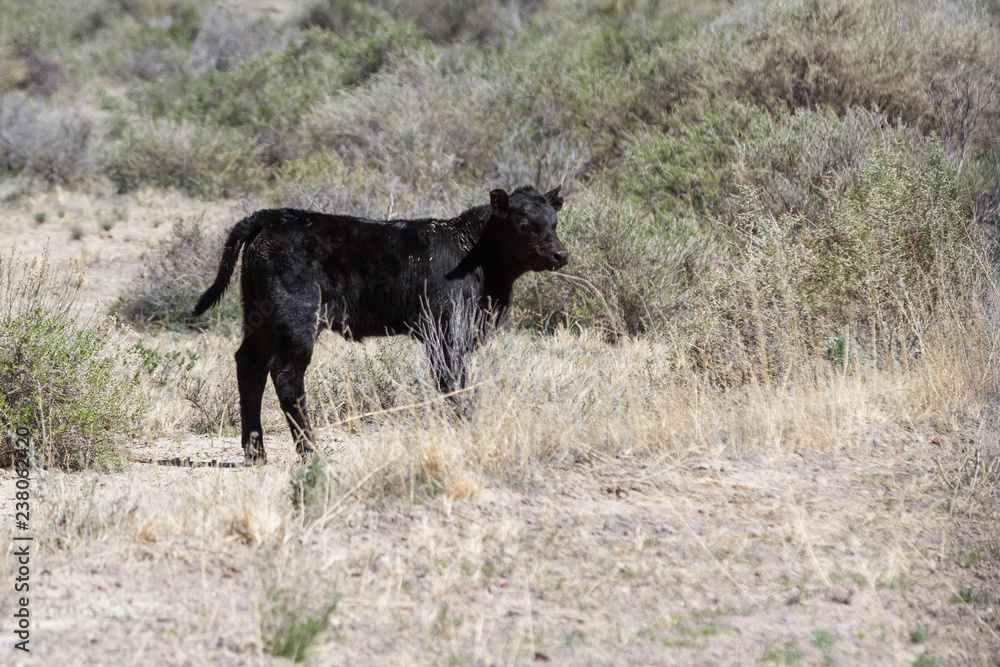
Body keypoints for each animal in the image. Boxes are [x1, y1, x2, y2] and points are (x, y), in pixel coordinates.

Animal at [192, 186, 568, 464]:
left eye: (554, 221)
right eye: (524, 223)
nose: (560, 254)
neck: (475, 256)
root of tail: (272, 216)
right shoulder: (445, 332)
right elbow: (453, 384)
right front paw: (465, 431)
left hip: (259, 318)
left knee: (249, 365)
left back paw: (256, 453)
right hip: (296, 320)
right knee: (286, 374)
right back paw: (310, 453)